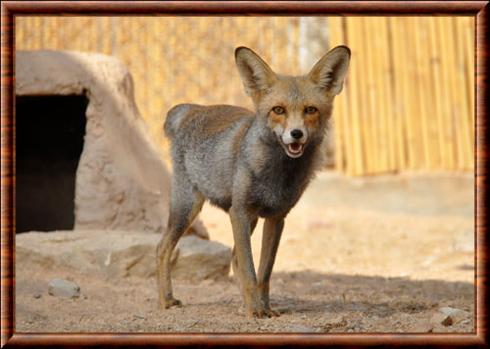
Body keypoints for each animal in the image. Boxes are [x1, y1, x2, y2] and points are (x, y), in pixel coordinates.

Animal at [155, 44, 350, 316]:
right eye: (278, 110)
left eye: (310, 110)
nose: (296, 134)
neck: (277, 175)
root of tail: (192, 109)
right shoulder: (239, 212)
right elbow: (250, 271)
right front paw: (256, 312)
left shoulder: (276, 217)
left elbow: (263, 273)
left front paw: (264, 308)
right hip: (188, 208)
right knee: (162, 249)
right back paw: (166, 300)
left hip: (248, 219)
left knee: (235, 259)